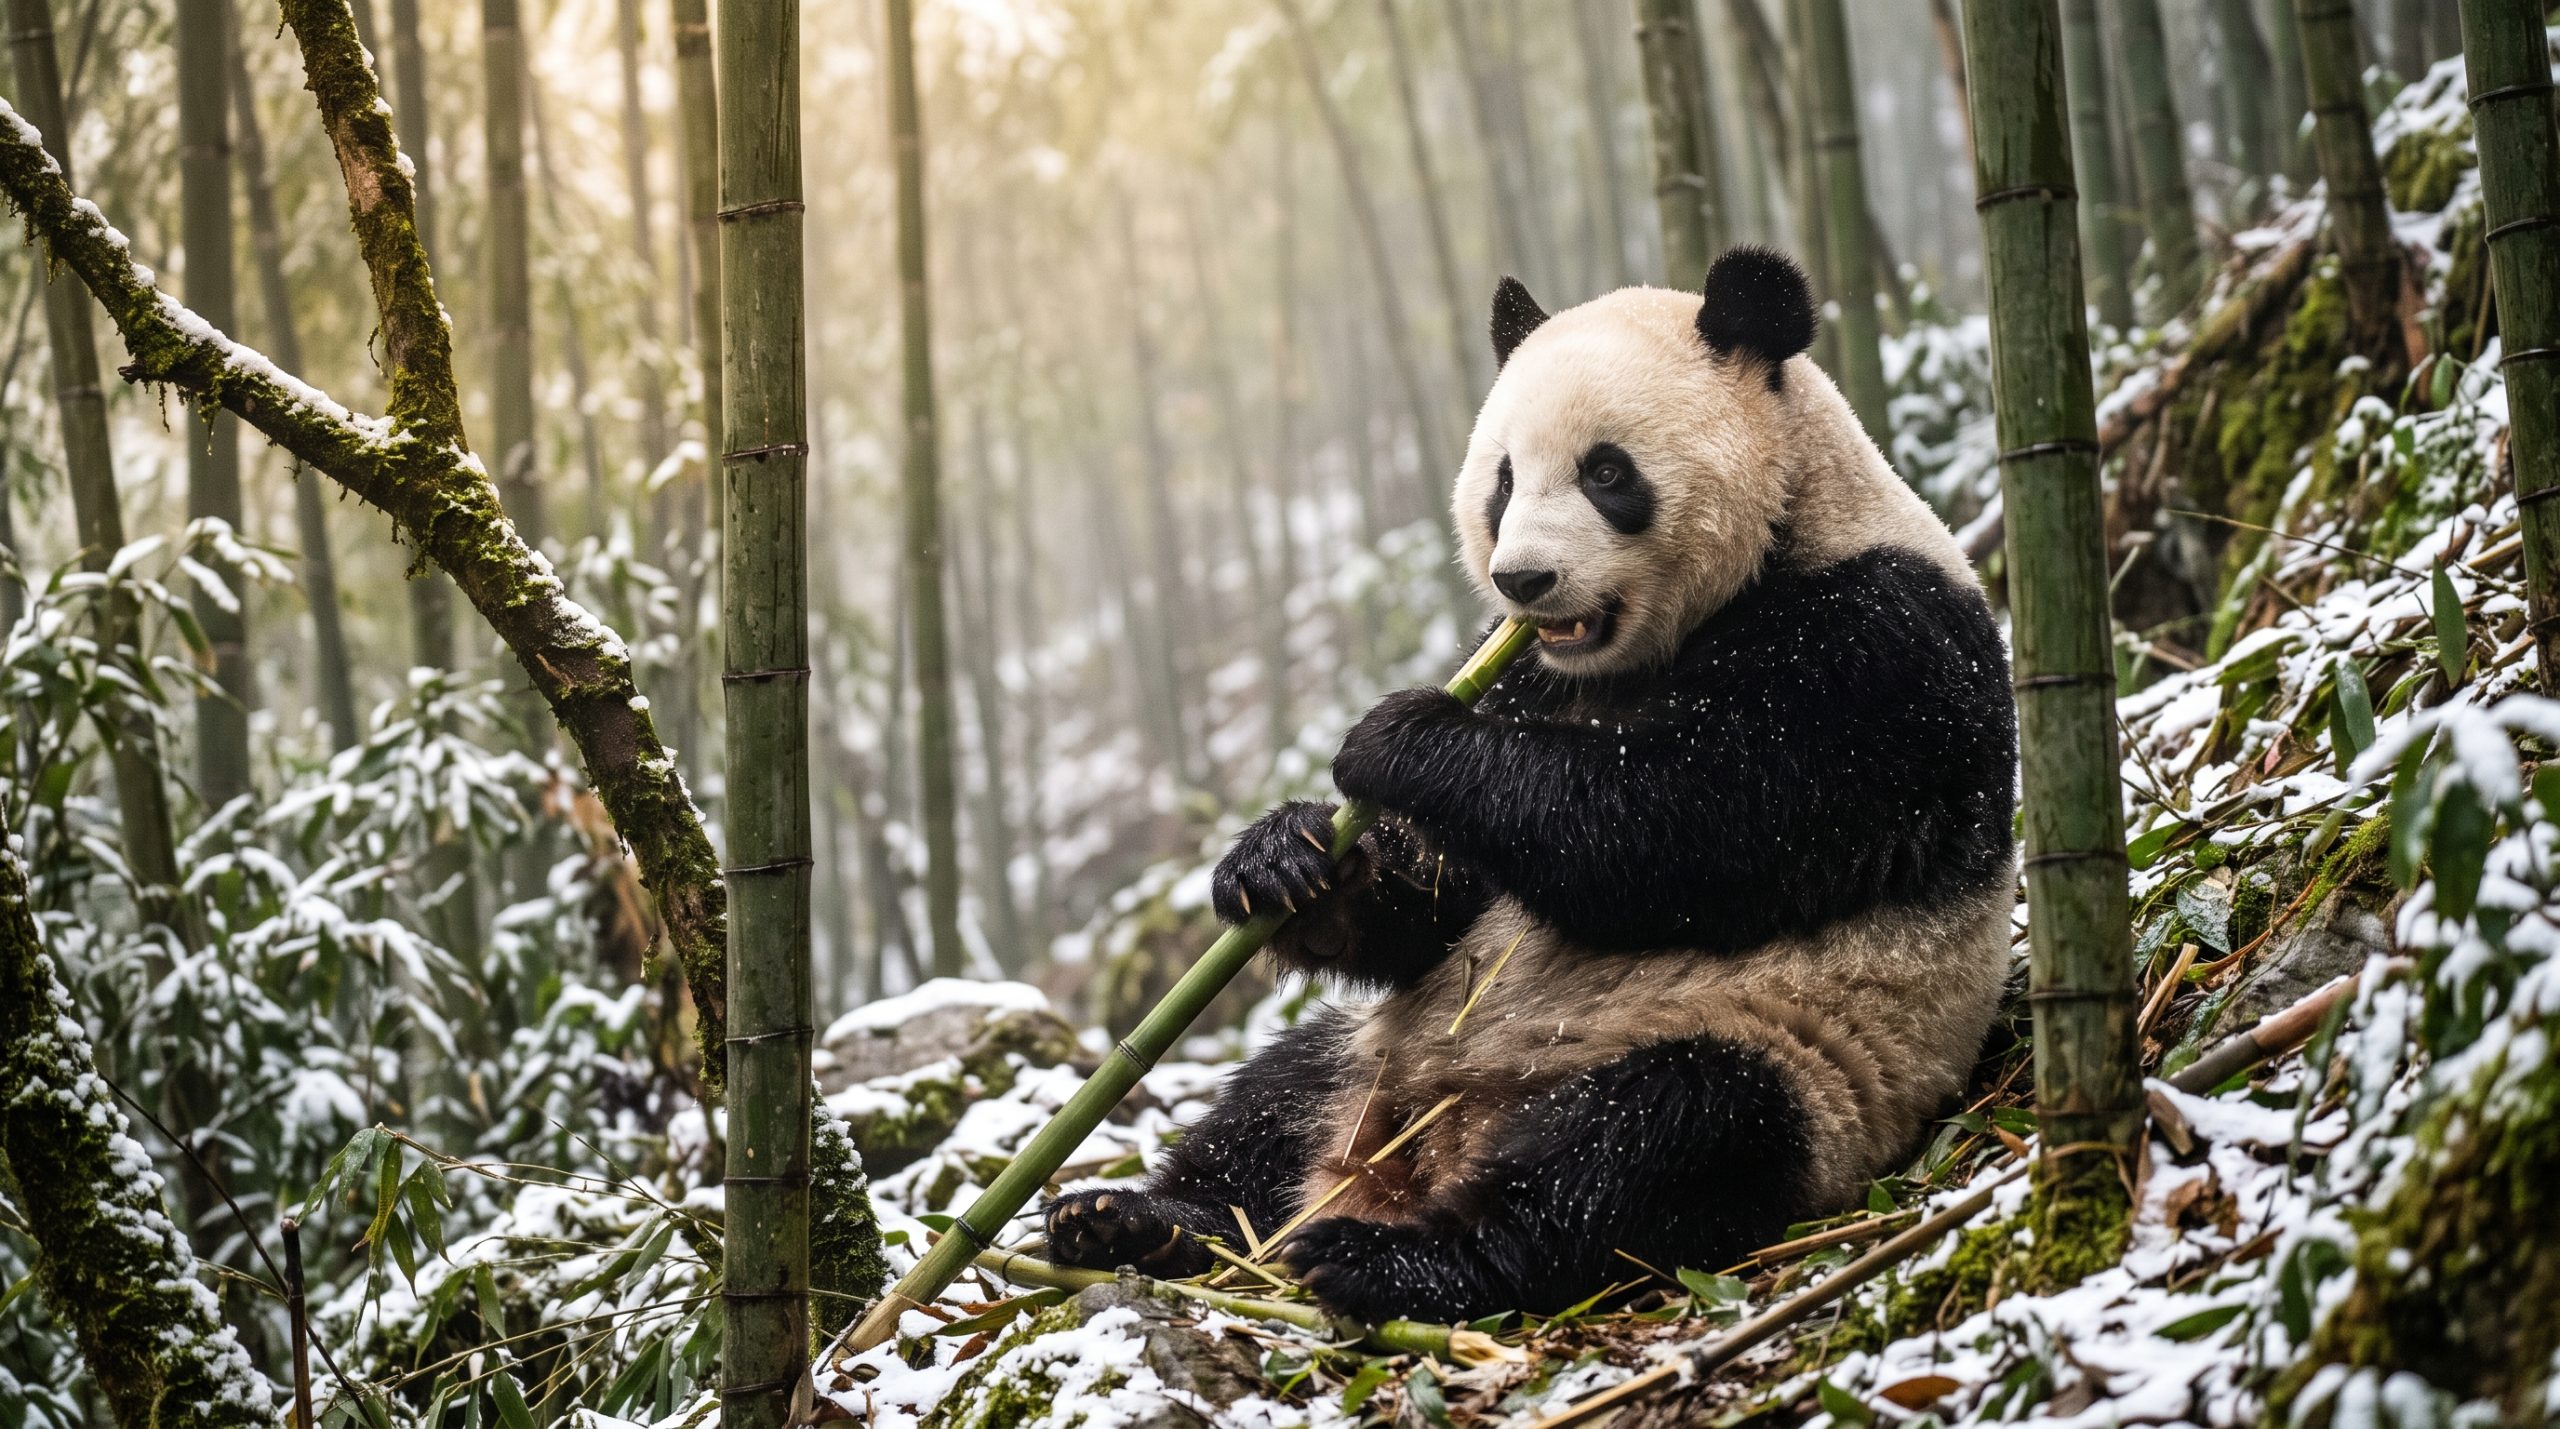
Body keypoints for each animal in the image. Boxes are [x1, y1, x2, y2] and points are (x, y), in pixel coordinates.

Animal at [1043, 247, 2017, 1325]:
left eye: (1607, 472)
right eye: (1503, 479)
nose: (1524, 581)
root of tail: (1427, 1145)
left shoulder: (1873, 651)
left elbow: (1681, 829)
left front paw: (1398, 736)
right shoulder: (1524, 669)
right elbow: (1440, 902)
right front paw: (1285, 855)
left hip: (1788, 1055)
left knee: (1646, 1145)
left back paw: (1393, 1260)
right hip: (1372, 1050)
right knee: (1271, 1100)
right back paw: (1141, 1222)